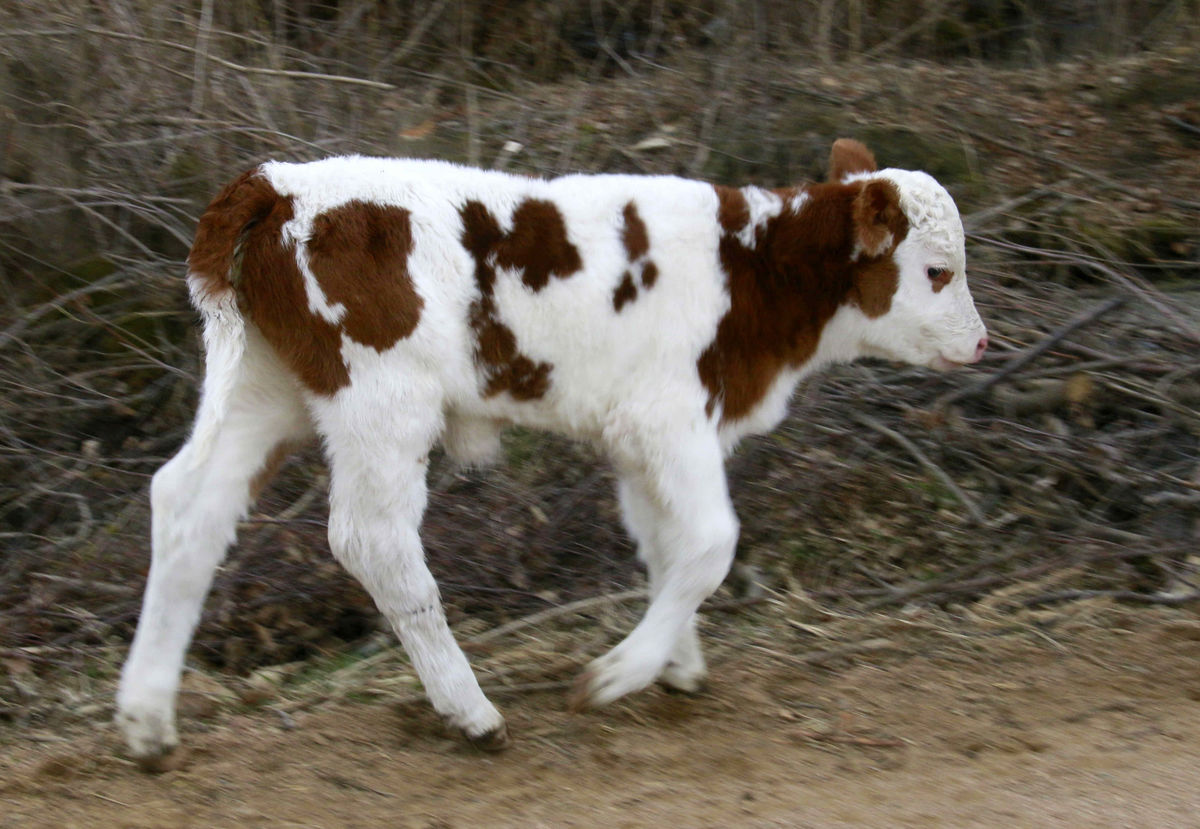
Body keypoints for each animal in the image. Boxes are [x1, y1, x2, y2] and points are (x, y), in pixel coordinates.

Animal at [117, 139, 988, 767]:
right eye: (937, 271)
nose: (981, 343)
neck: (752, 268)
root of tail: (275, 184)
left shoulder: (636, 437)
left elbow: (665, 545)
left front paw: (675, 664)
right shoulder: (671, 416)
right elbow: (710, 543)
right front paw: (617, 674)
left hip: (264, 388)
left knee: (187, 505)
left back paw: (147, 720)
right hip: (382, 400)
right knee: (374, 543)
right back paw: (471, 713)